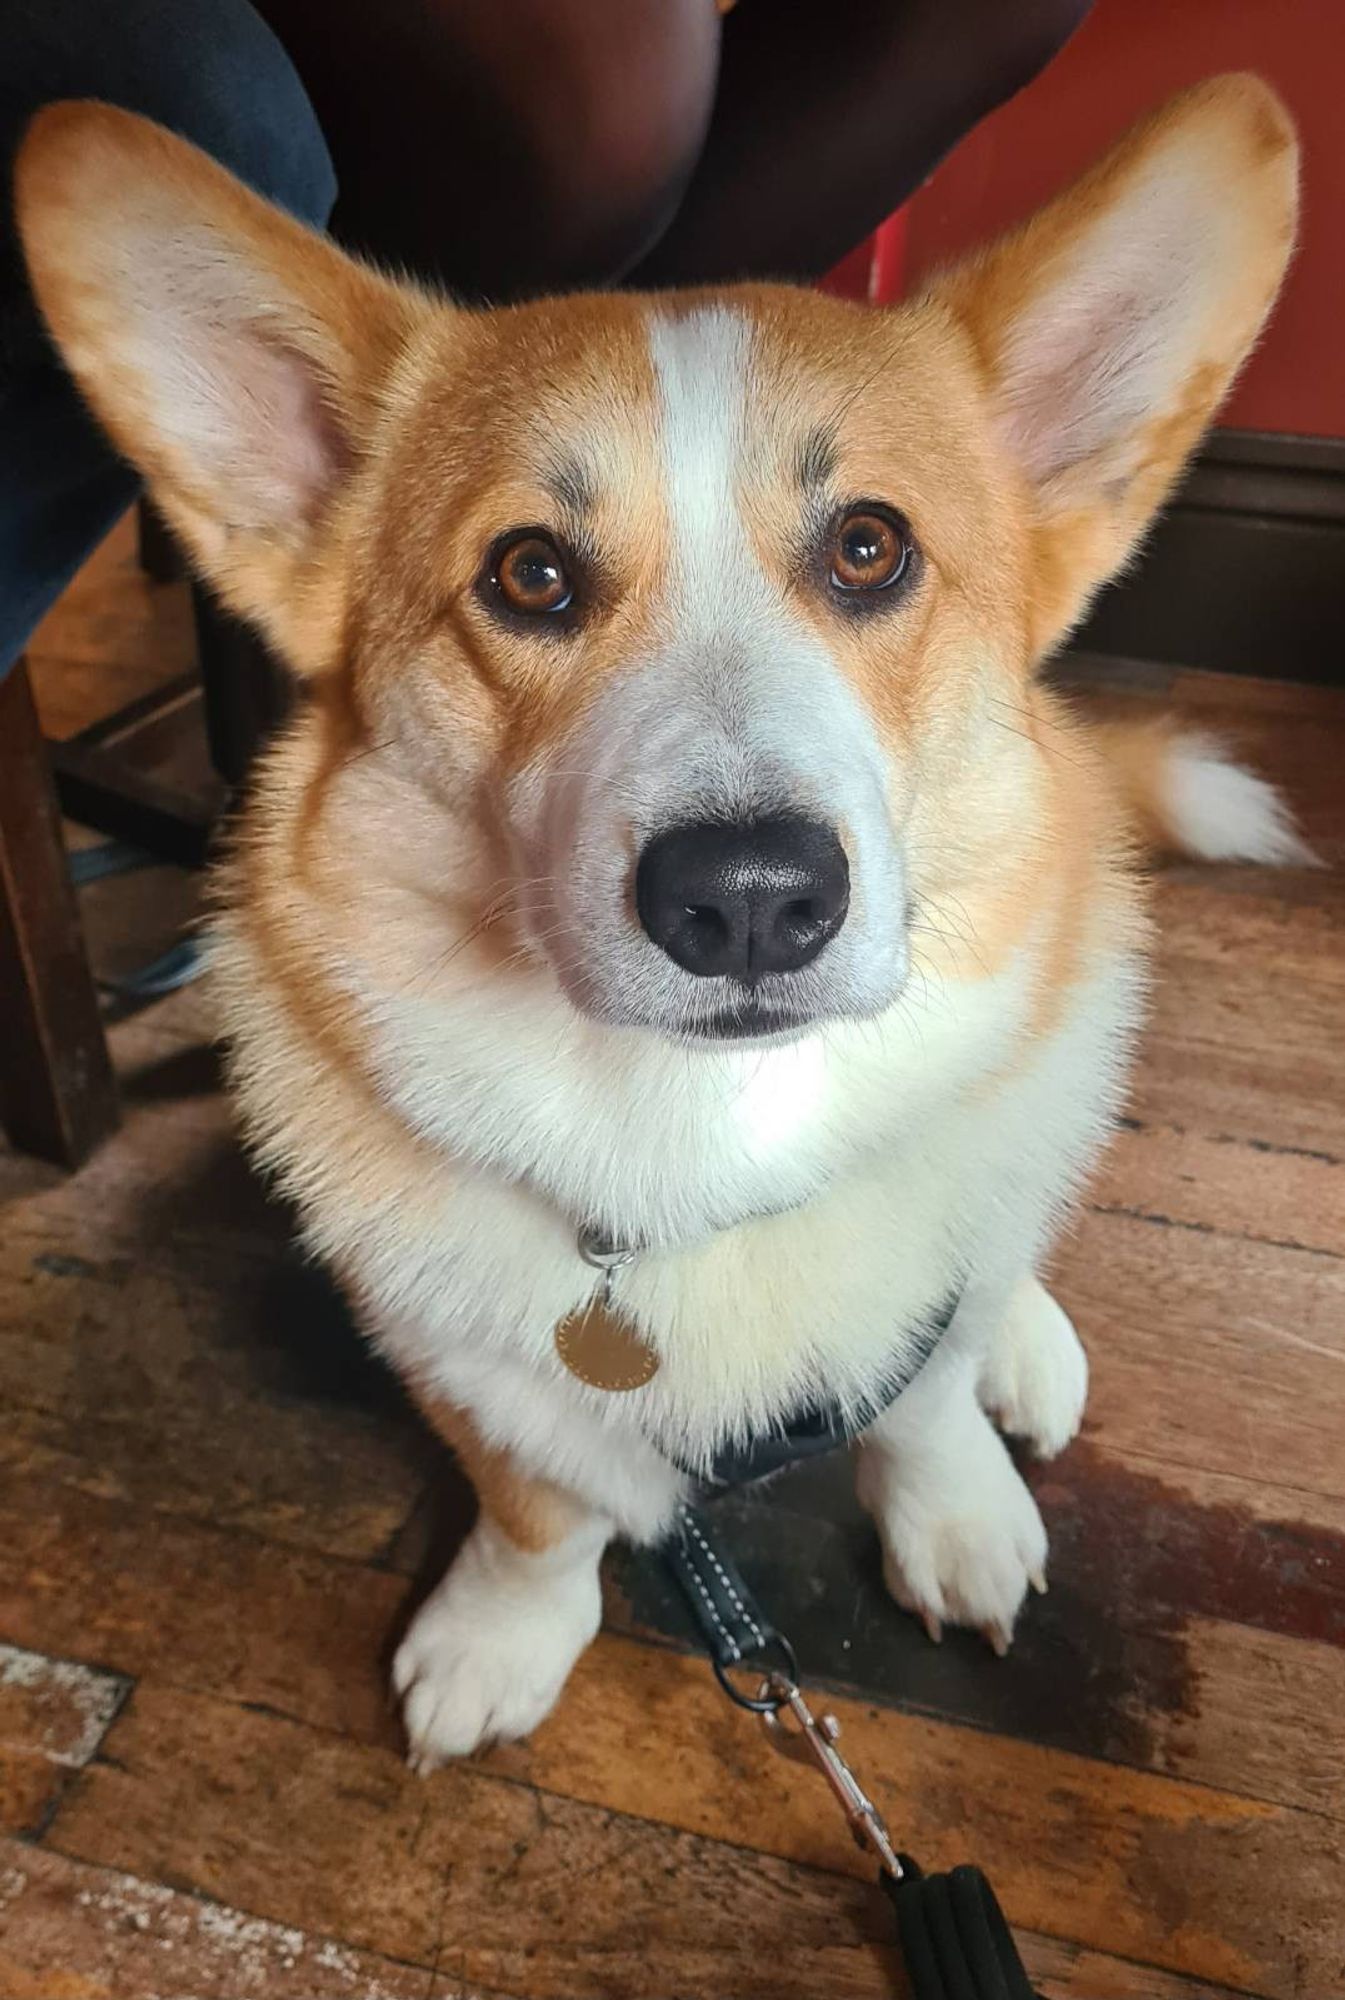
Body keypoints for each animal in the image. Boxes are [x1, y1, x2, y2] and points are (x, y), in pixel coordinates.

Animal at [18, 74, 1304, 1768]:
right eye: (530, 574)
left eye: (870, 547)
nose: (750, 898)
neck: (709, 1134)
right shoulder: (472, 1364)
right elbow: (538, 1509)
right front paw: (500, 1636)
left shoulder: (915, 1312)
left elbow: (924, 1396)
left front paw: (958, 1515)